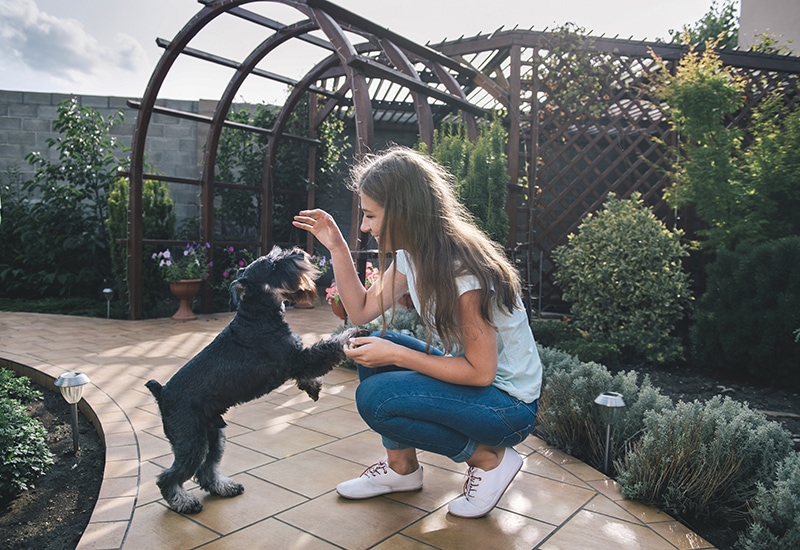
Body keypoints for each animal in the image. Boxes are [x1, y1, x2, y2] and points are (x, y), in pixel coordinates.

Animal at [148, 248, 360, 516]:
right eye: (272, 266)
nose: (299, 253)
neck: (258, 315)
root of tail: (162, 393)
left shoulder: (296, 360)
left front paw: (312, 387)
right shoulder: (296, 359)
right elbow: (328, 348)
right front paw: (351, 334)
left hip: (214, 436)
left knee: (207, 469)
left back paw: (223, 488)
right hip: (191, 442)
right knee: (169, 477)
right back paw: (184, 502)